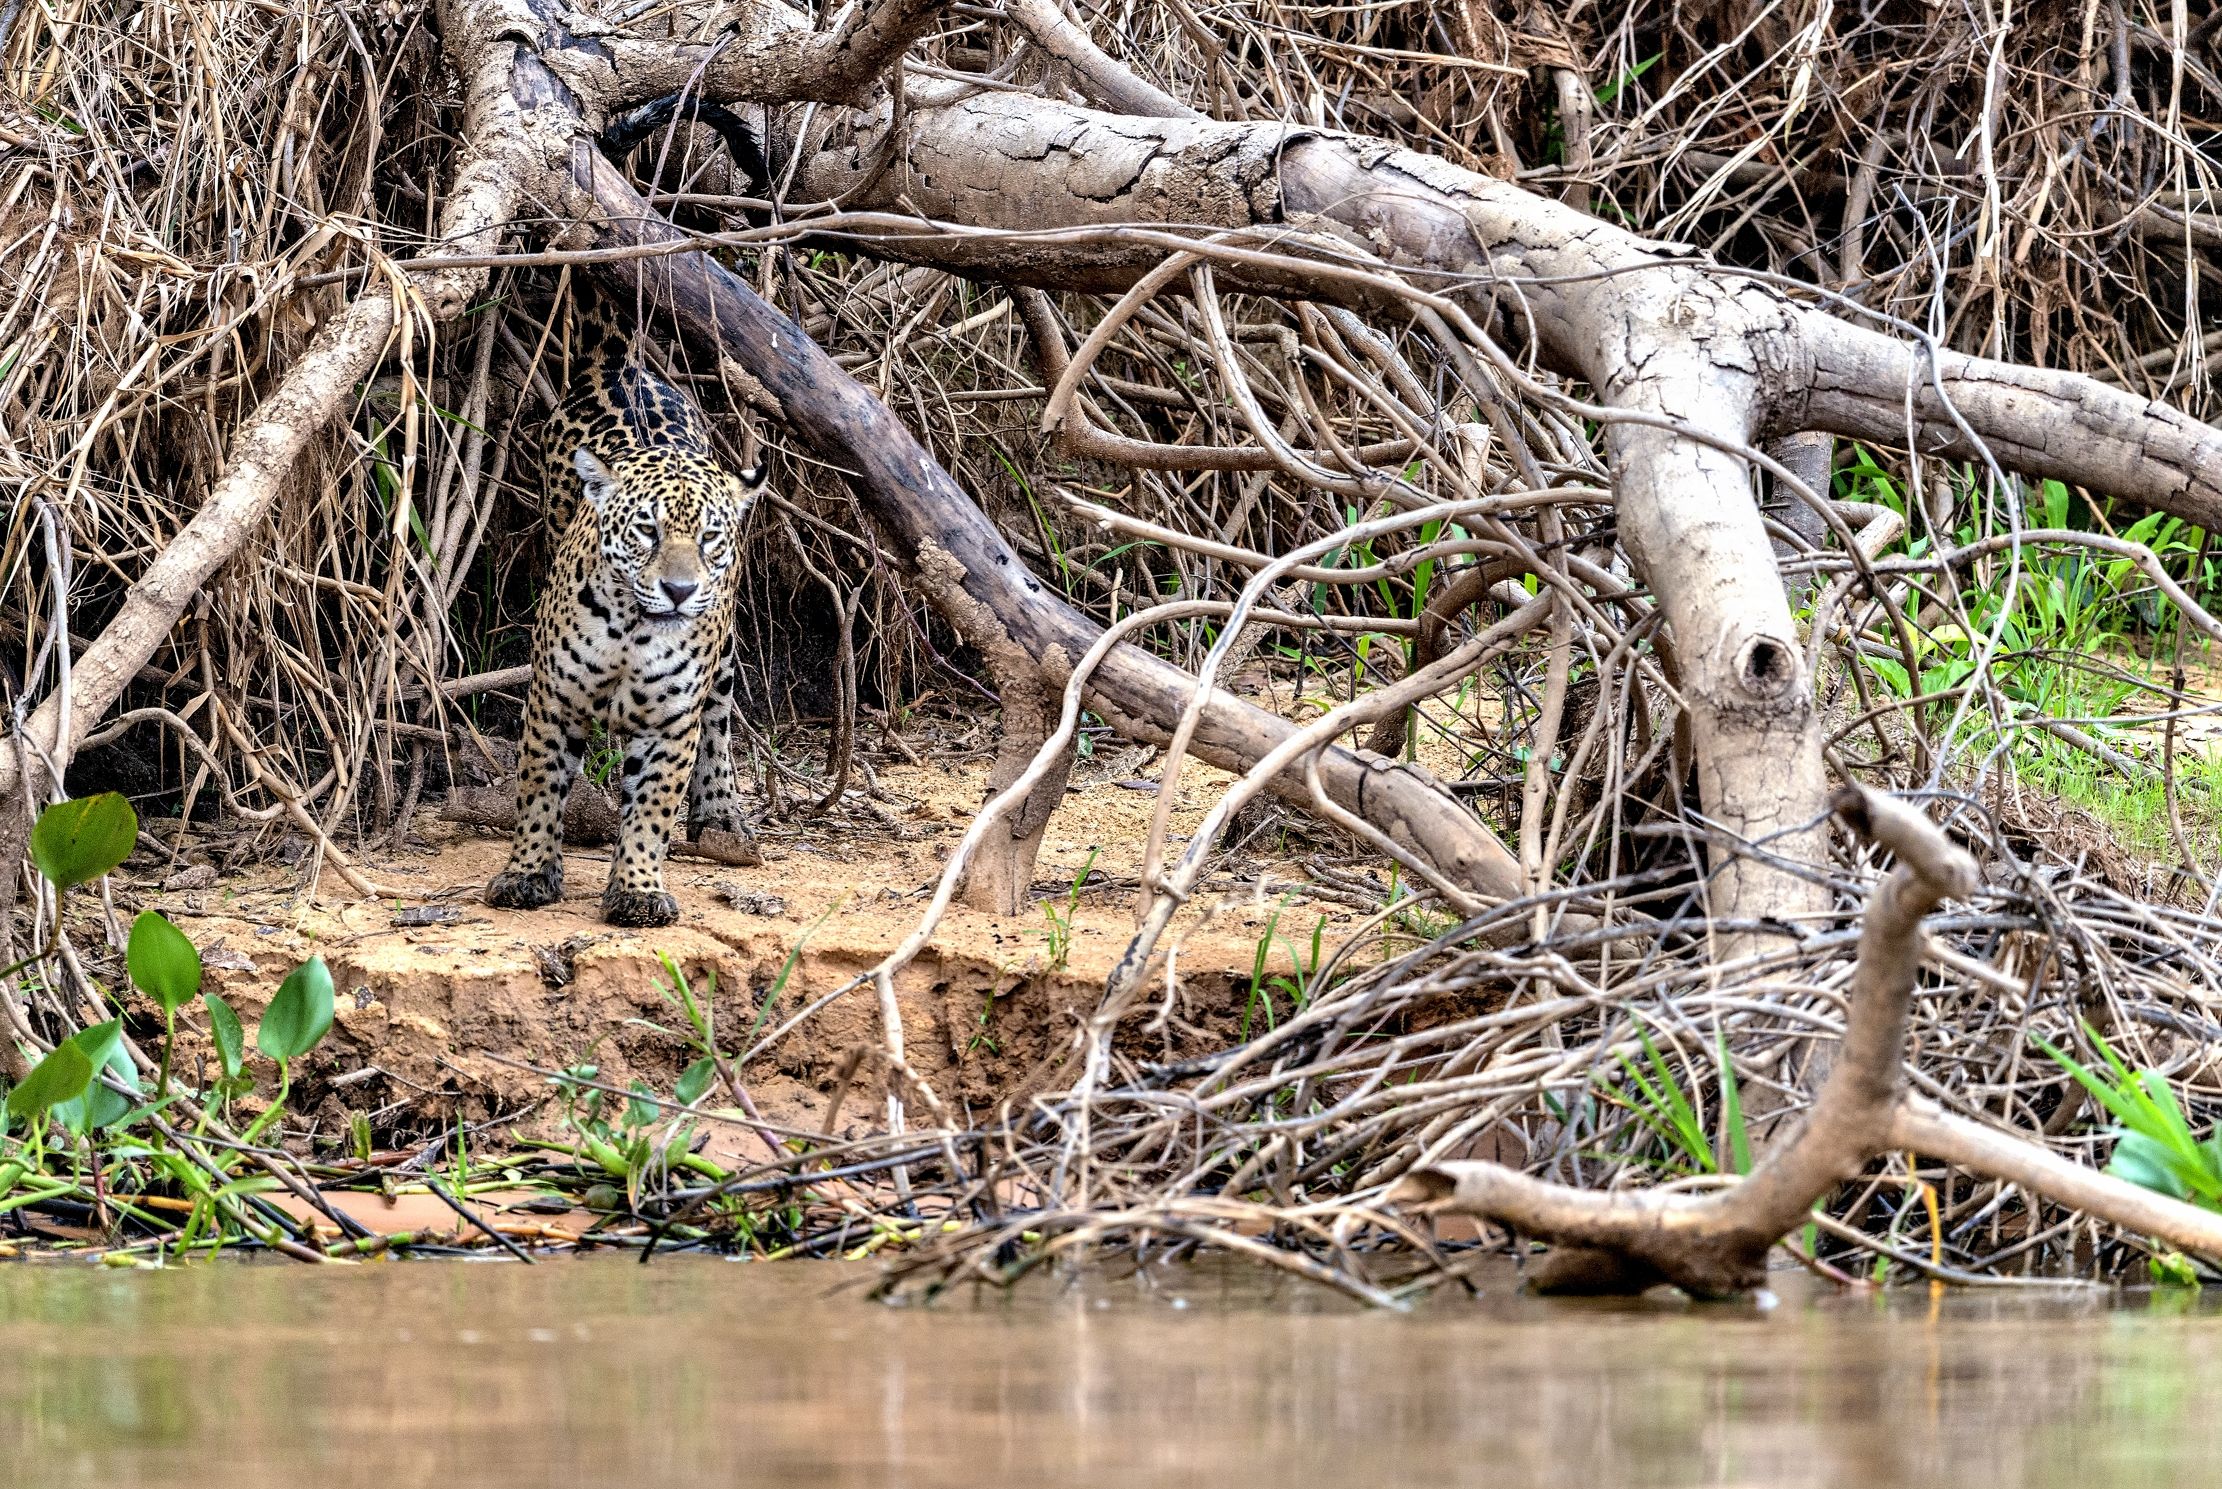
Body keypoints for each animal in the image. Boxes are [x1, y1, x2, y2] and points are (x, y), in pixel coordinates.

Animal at [485, 290, 764, 928]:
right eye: (646, 531)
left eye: (709, 538)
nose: (680, 590)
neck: (633, 631)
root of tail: (617, 363)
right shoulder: (553, 699)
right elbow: (538, 789)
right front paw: (529, 873)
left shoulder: (671, 721)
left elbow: (653, 806)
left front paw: (637, 889)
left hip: (724, 650)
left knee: (719, 718)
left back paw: (721, 819)